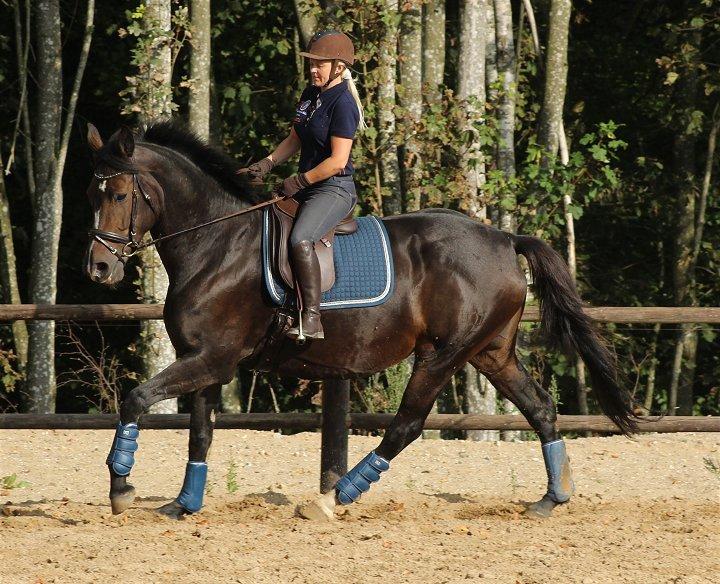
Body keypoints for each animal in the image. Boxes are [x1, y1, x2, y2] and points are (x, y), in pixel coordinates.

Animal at [84, 122, 636, 520]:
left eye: (118, 195)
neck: (214, 244)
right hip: (490, 352)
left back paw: (332, 500)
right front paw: (183, 504)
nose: (100, 268)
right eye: (94, 195)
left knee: (407, 425)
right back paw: (551, 499)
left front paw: (121, 487)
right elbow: (200, 433)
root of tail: (504, 239)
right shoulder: (204, 362)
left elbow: (136, 399)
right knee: (540, 407)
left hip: (443, 354)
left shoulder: (211, 359)